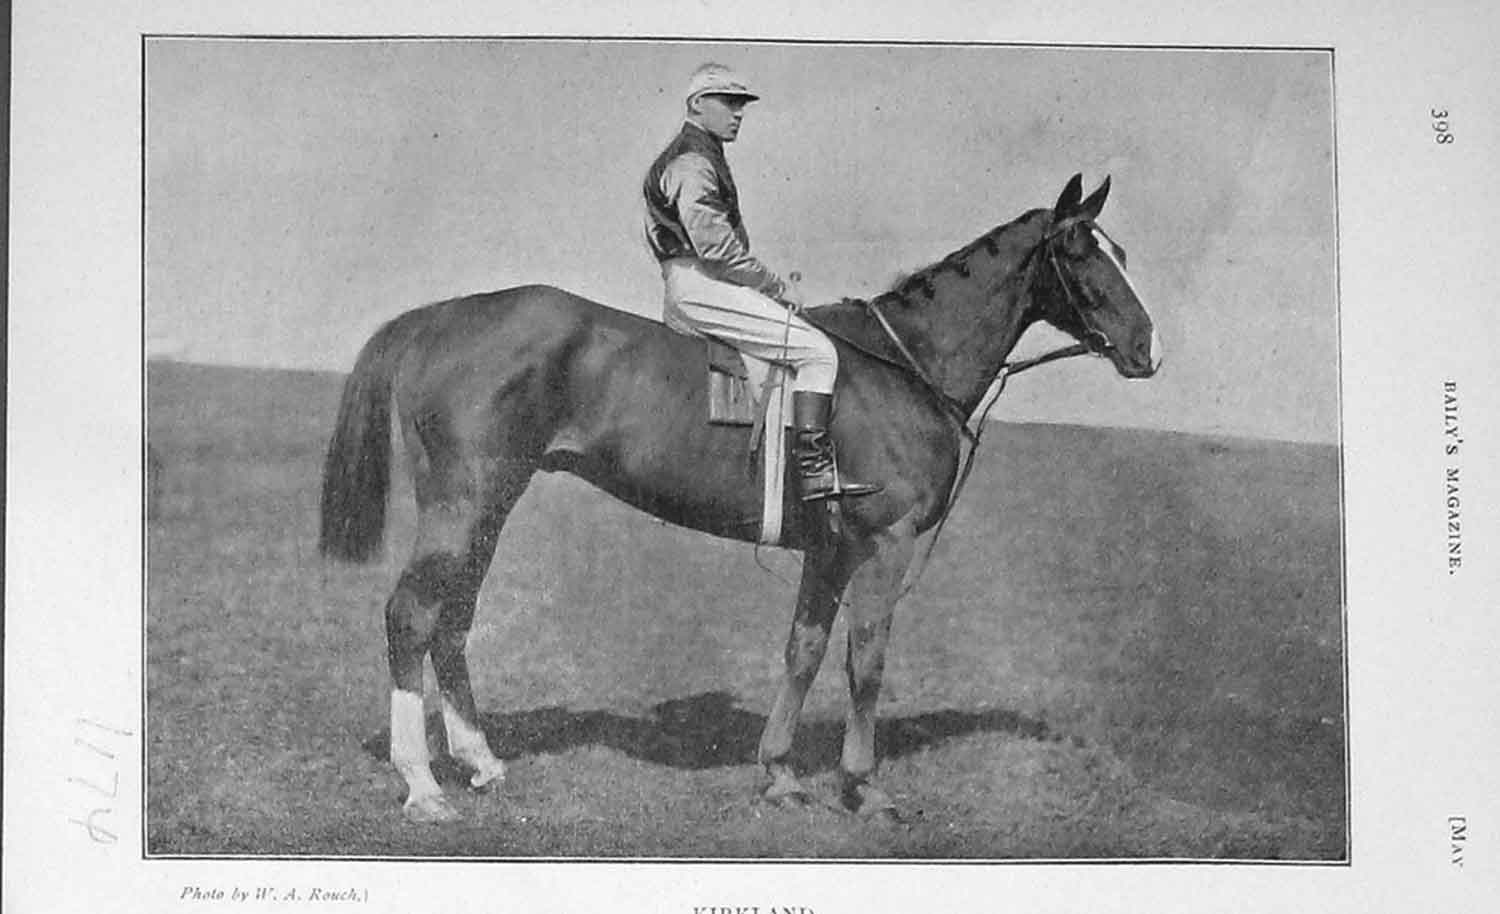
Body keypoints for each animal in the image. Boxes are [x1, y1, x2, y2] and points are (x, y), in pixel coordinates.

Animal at [319, 174, 1161, 825]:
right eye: (1082, 251)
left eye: (1122, 252)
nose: (1149, 346)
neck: (904, 364)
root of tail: (439, 315)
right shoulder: (883, 546)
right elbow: (866, 661)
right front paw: (864, 788)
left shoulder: (830, 549)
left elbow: (805, 651)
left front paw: (780, 774)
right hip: (462, 505)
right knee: (412, 615)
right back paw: (423, 784)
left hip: (490, 507)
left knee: (453, 618)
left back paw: (482, 762)